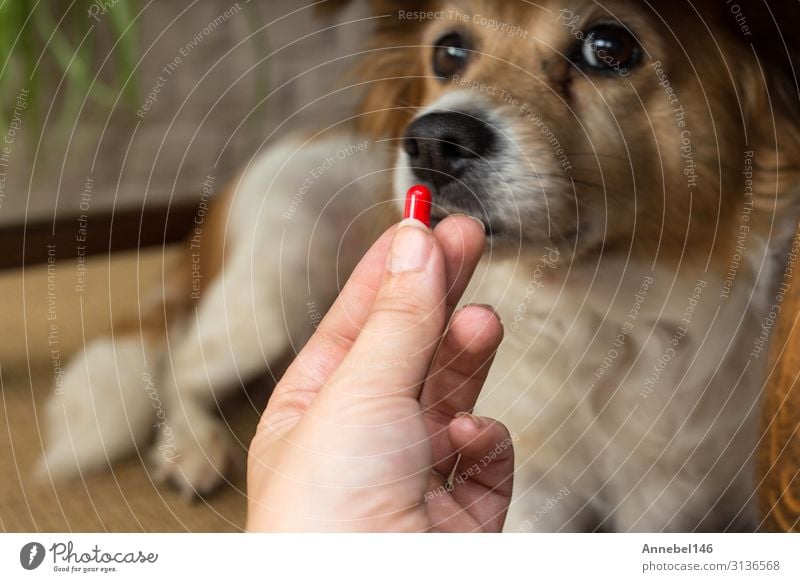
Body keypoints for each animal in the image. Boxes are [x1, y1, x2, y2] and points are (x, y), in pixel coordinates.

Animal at [42, 0, 800, 532]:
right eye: (449, 49)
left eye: (610, 47)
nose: (433, 140)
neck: (614, 307)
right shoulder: (535, 490)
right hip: (275, 290)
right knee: (176, 359)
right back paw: (191, 447)